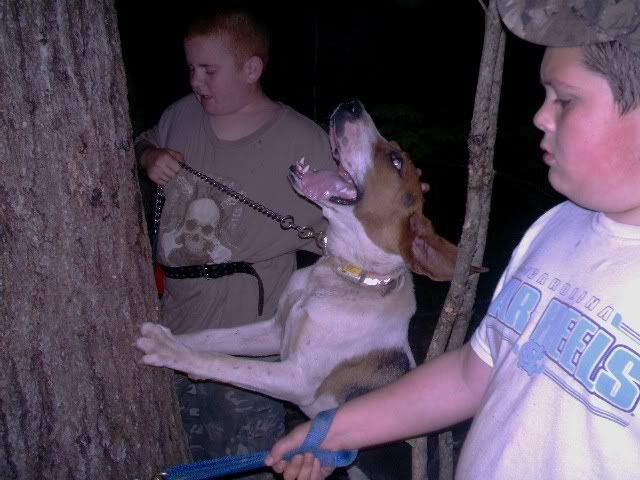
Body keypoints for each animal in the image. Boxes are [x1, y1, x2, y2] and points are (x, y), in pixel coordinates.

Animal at [136, 100, 463, 420]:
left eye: (396, 161)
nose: (352, 104)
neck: (348, 275)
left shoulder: (296, 378)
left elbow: (222, 361)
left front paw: (170, 350)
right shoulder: (273, 330)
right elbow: (210, 337)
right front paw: (174, 336)